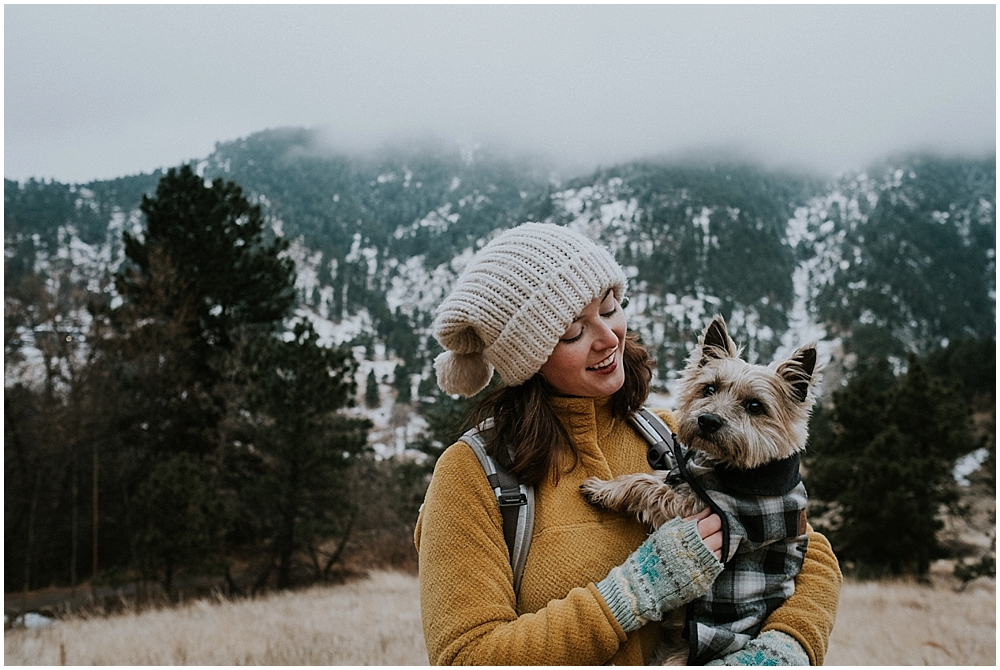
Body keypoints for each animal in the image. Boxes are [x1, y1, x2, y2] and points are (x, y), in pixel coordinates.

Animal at [580, 316, 820, 668]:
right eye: (709, 388)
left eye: (755, 406)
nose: (707, 420)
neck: (737, 470)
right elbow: (661, 476)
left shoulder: (705, 512)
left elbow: (645, 484)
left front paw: (603, 488)